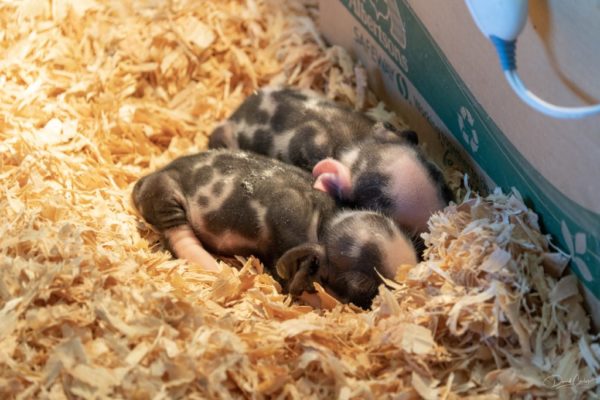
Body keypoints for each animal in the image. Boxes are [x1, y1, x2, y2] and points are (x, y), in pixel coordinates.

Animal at [131, 149, 417, 308]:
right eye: (361, 285)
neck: (324, 223)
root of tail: (143, 183)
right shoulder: (282, 247)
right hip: (166, 193)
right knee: (178, 233)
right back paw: (215, 268)